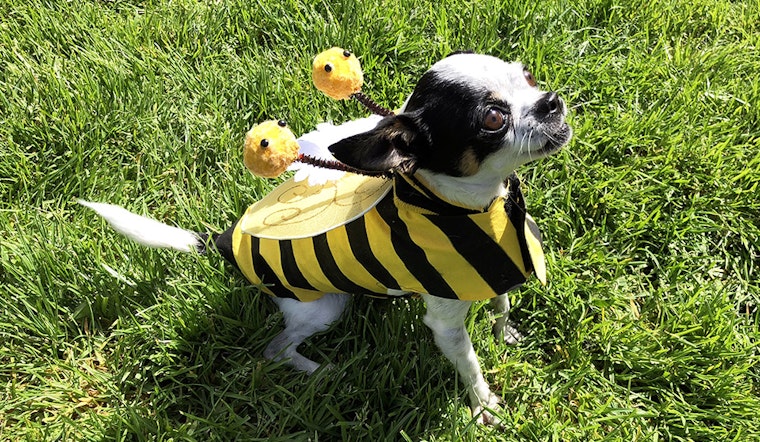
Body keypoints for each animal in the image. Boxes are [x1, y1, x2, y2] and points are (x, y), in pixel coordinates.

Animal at [83, 51, 568, 424]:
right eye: (493, 118)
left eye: (528, 78)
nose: (552, 102)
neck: (464, 208)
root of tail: (224, 241)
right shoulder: (446, 324)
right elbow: (469, 364)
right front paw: (483, 404)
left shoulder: (492, 265)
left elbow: (501, 300)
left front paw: (503, 331)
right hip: (325, 307)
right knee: (275, 350)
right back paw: (324, 372)